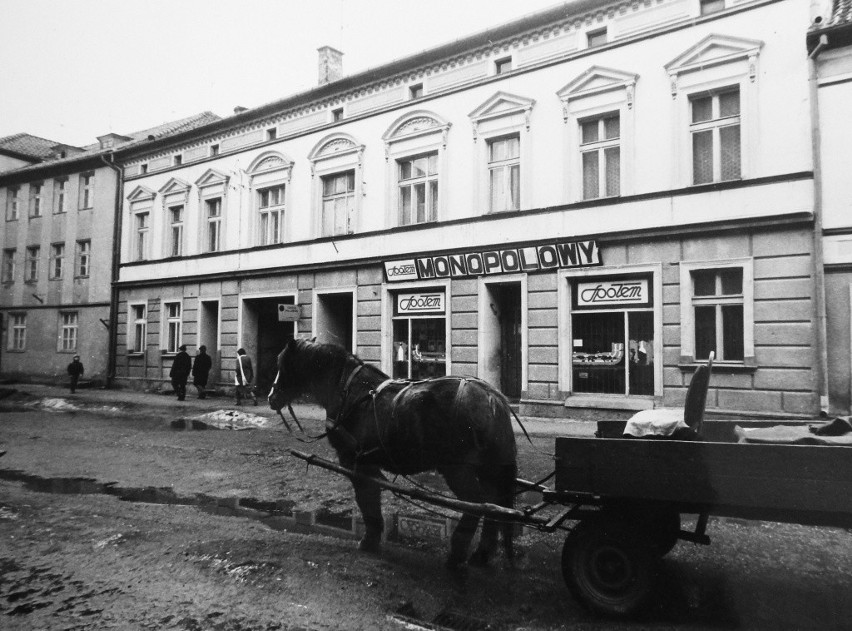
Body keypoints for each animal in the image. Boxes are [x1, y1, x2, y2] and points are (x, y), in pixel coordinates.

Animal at [266, 338, 520, 572]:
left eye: (283, 364)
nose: (271, 397)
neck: (348, 392)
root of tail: (493, 397)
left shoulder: (353, 460)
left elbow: (366, 499)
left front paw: (369, 540)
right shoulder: (367, 462)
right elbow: (372, 496)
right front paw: (373, 536)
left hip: (458, 469)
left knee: (475, 504)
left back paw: (456, 553)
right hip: (488, 469)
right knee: (493, 505)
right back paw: (481, 554)